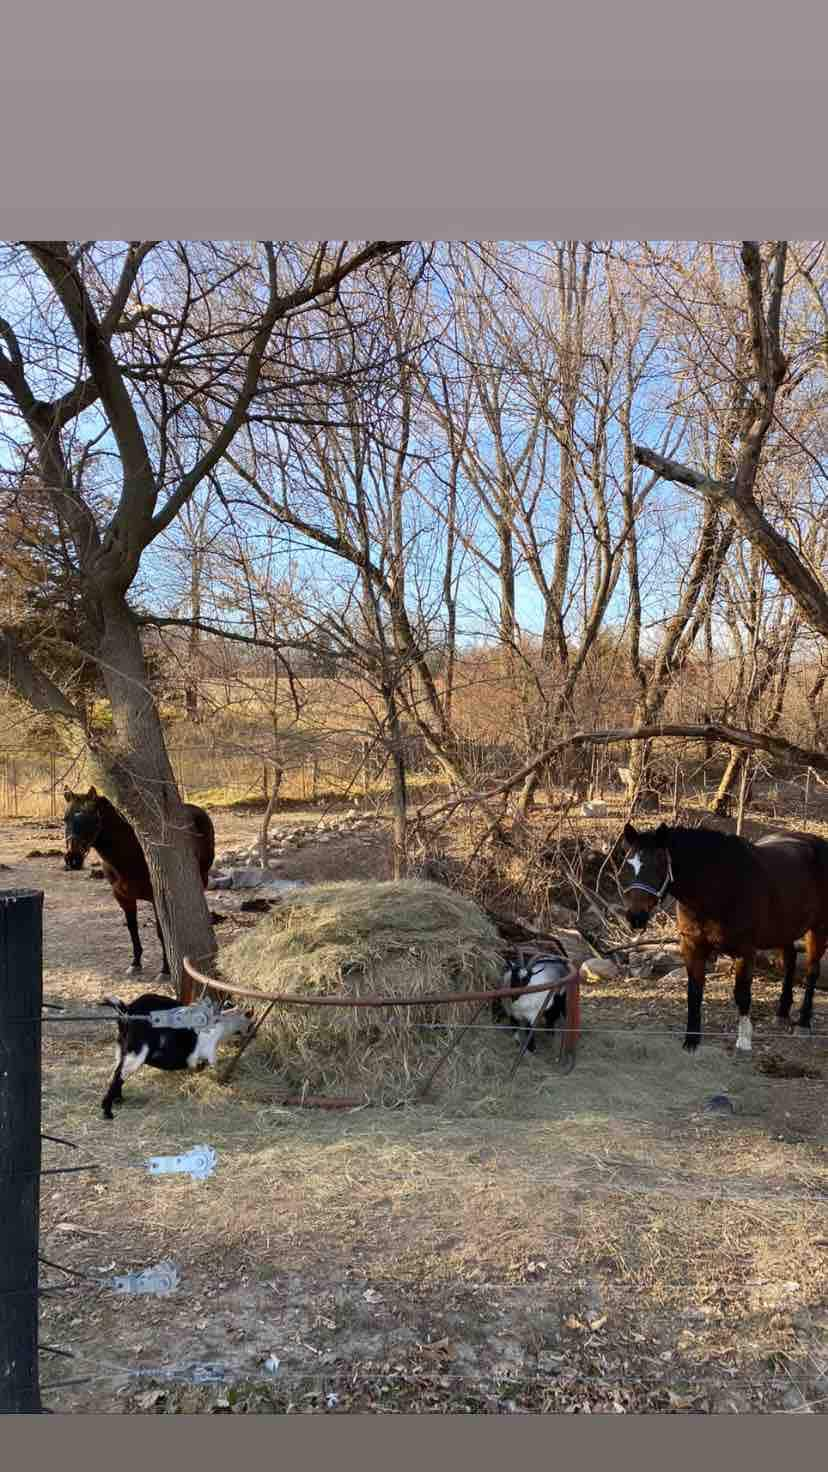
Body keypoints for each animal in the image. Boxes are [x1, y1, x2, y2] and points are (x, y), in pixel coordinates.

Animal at [62, 783, 213, 977]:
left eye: (91, 819)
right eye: (65, 819)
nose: (72, 859)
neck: (131, 852)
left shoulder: (157, 898)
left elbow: (161, 932)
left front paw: (165, 970)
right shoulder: (123, 897)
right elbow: (132, 927)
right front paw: (135, 963)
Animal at [100, 995, 254, 1118]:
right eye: (249, 1020)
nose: (252, 1033)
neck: (220, 1023)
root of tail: (127, 1011)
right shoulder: (208, 1049)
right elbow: (208, 1063)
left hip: (122, 1049)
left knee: (117, 1072)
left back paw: (119, 1100)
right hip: (136, 1053)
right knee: (119, 1075)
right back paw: (108, 1112)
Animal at [618, 824, 825, 1053]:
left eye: (658, 865)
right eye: (627, 866)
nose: (635, 917)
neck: (720, 886)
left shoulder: (745, 950)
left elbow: (742, 993)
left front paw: (744, 1040)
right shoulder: (692, 945)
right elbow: (694, 991)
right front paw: (691, 1039)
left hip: (818, 929)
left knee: (812, 971)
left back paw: (803, 1023)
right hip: (784, 930)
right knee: (789, 962)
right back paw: (781, 1013)